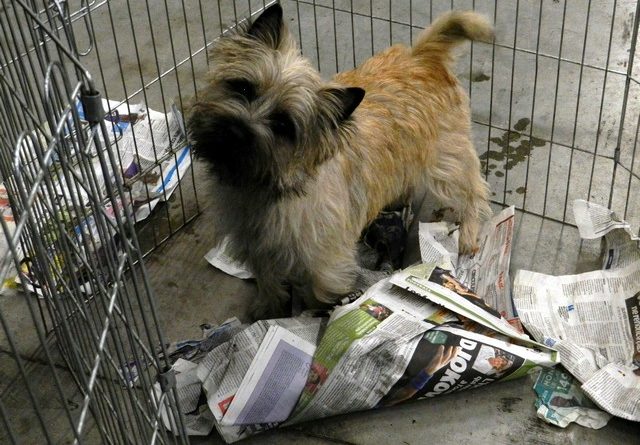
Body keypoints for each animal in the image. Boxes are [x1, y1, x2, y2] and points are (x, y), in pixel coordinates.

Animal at [188, 2, 492, 316]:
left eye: (283, 125)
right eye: (244, 88)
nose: (235, 130)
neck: (264, 187)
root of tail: (420, 57)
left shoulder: (324, 261)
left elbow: (319, 293)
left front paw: (320, 314)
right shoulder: (258, 249)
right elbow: (268, 282)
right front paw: (267, 309)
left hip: (447, 163)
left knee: (474, 192)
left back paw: (468, 235)